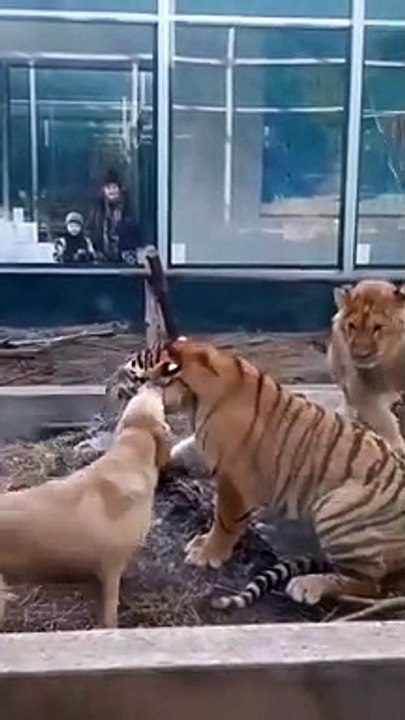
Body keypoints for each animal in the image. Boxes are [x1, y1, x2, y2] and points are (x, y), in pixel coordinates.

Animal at [109, 336, 405, 609]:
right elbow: (180, 451)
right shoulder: (202, 446)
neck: (194, 397)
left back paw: (308, 585)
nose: (110, 390)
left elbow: (225, 522)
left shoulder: (232, 478)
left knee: (371, 582)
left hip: (336, 507)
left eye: (131, 373)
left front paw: (207, 553)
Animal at [327, 280, 405, 453]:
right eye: (352, 326)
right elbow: (384, 421)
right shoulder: (361, 391)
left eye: (378, 327)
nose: (360, 355)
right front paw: (397, 446)